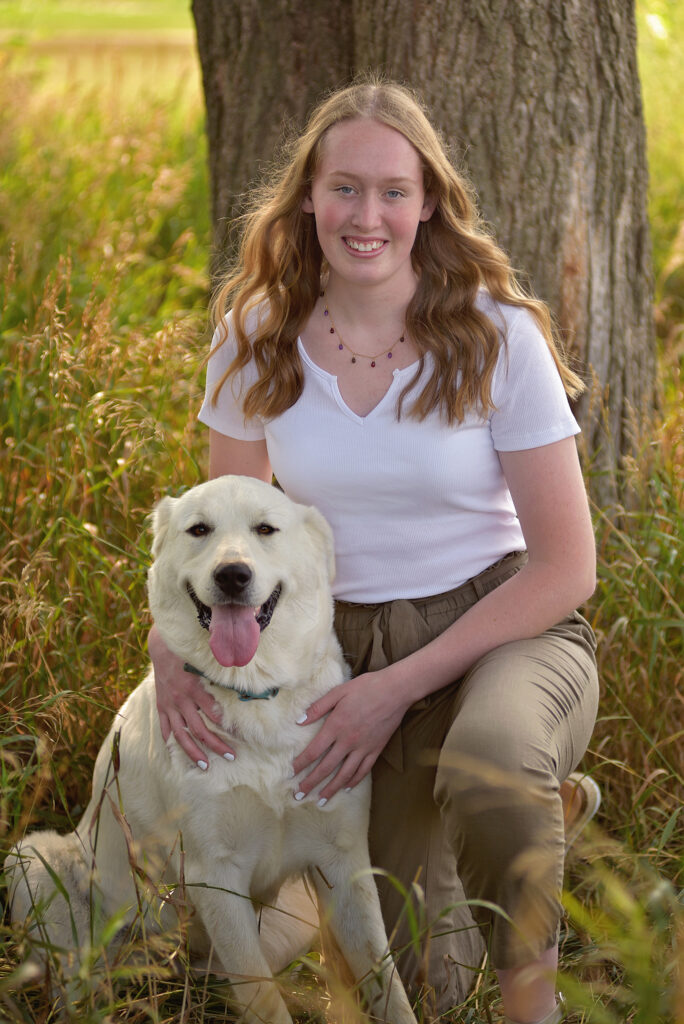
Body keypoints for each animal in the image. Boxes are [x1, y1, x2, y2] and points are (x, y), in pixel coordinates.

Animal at [6, 477, 417, 1024]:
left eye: (265, 529)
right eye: (199, 529)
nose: (233, 576)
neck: (256, 696)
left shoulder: (344, 861)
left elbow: (387, 983)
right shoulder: (215, 875)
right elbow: (266, 1001)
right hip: (32, 861)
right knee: (80, 989)